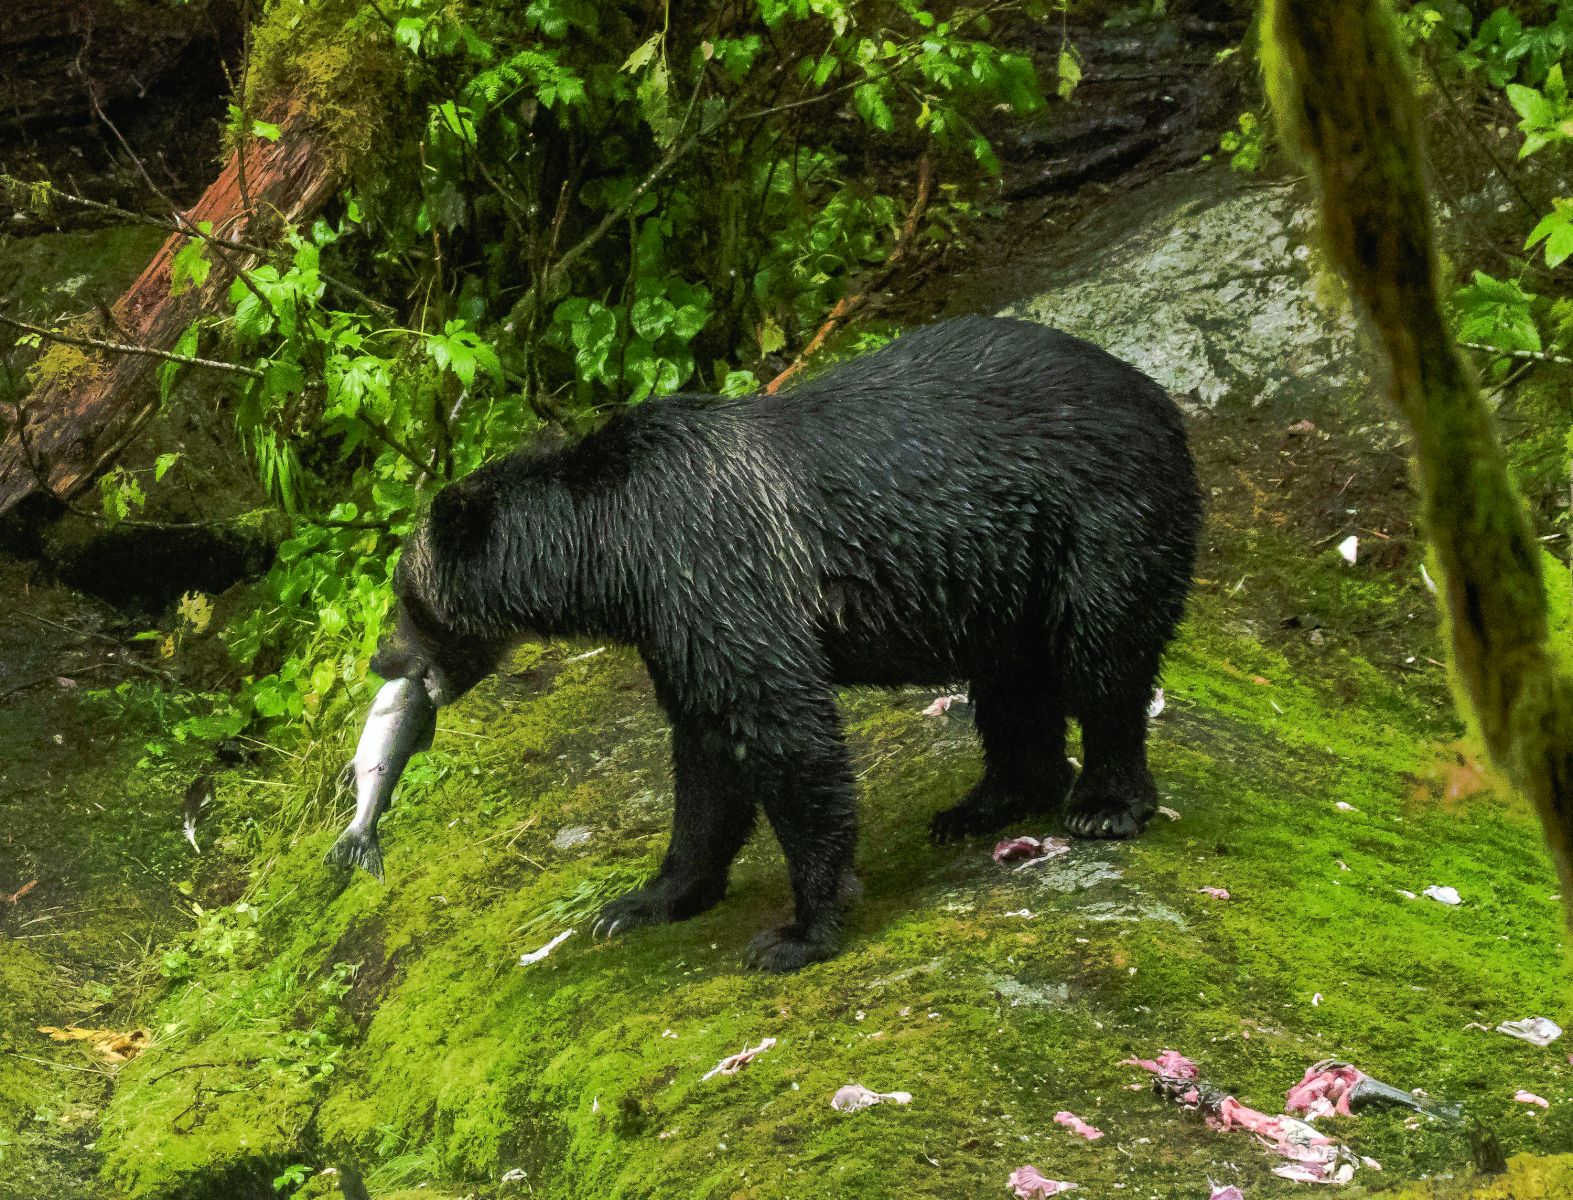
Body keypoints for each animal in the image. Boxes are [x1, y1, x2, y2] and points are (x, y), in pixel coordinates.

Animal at [371, 316, 1201, 975]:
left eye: (403, 599)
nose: (385, 660)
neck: (612, 550)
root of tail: (1155, 391)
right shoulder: (672, 624)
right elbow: (705, 761)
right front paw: (642, 900)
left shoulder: (718, 571)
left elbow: (786, 737)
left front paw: (798, 930)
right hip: (1005, 576)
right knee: (1008, 686)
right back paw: (983, 803)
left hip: (1096, 516)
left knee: (1104, 657)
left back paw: (1102, 803)